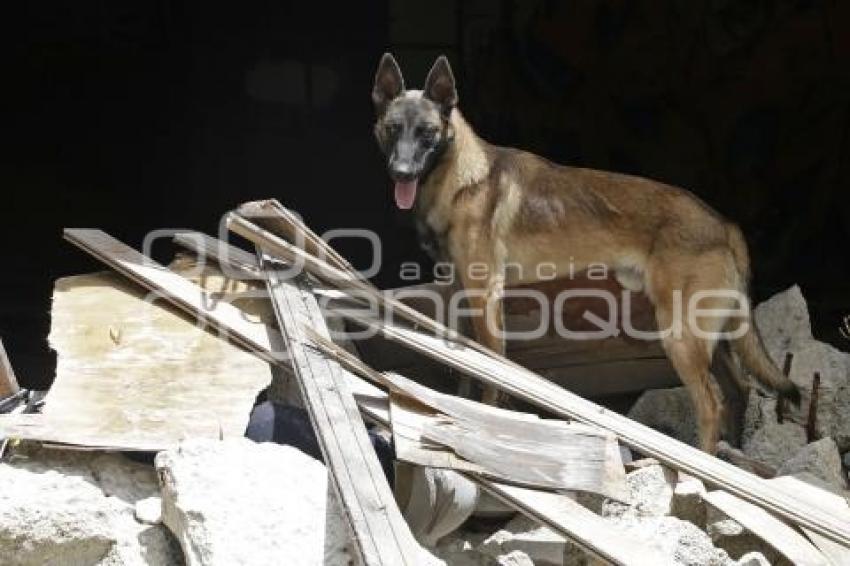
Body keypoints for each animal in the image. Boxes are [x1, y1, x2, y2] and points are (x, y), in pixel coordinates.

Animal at [372, 52, 796, 452]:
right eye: (393, 129)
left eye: (427, 132)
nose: (401, 173)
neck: (460, 180)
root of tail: (724, 223)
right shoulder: (460, 292)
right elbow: (465, 367)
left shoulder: (485, 296)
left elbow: (492, 372)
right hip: (713, 335)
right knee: (739, 390)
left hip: (681, 336)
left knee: (711, 404)